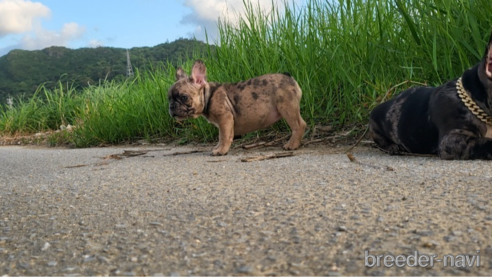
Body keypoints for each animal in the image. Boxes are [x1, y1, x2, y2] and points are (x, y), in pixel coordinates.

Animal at [170, 59, 308, 155]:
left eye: (184, 97)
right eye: (168, 98)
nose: (171, 106)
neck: (208, 95)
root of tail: (288, 76)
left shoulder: (224, 118)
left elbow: (223, 136)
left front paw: (220, 151)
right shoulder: (224, 122)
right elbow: (222, 137)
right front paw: (218, 147)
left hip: (287, 108)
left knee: (299, 125)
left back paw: (292, 145)